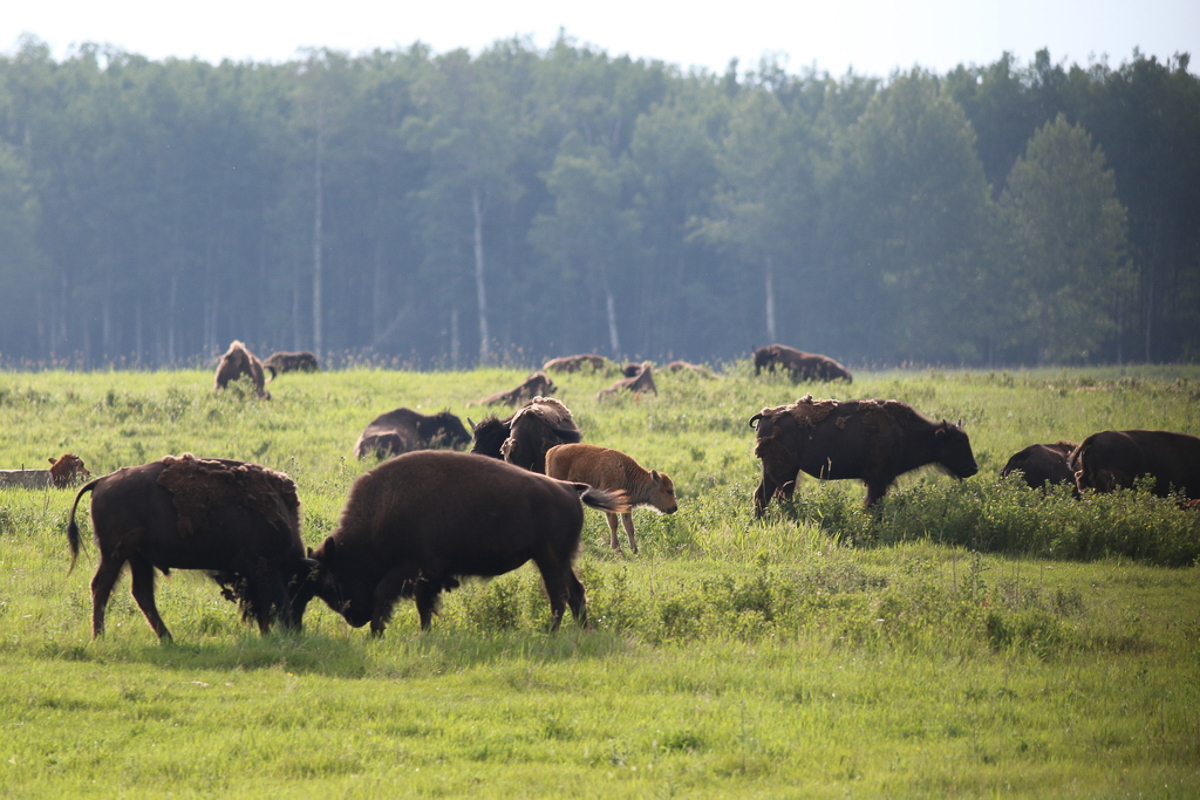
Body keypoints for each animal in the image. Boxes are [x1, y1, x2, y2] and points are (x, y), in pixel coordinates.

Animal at [66, 454, 314, 641]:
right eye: (300, 587)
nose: (297, 628)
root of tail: (102, 481)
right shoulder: (264, 568)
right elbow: (274, 601)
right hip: (115, 555)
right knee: (102, 587)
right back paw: (100, 636)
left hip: (137, 558)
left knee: (141, 593)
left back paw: (168, 639)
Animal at [304, 450, 629, 634]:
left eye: (331, 582)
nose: (354, 618)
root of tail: (570, 488)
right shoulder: (426, 577)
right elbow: (424, 606)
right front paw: (425, 633)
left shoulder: (411, 570)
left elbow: (388, 595)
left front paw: (377, 631)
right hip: (560, 560)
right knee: (575, 592)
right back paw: (581, 631)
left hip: (549, 560)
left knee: (559, 596)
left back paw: (551, 633)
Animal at [750, 396, 978, 515]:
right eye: (957, 442)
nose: (973, 468)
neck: (904, 432)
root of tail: (765, 415)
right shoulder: (878, 480)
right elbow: (873, 506)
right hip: (784, 471)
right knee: (777, 497)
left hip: (776, 472)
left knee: (763, 496)